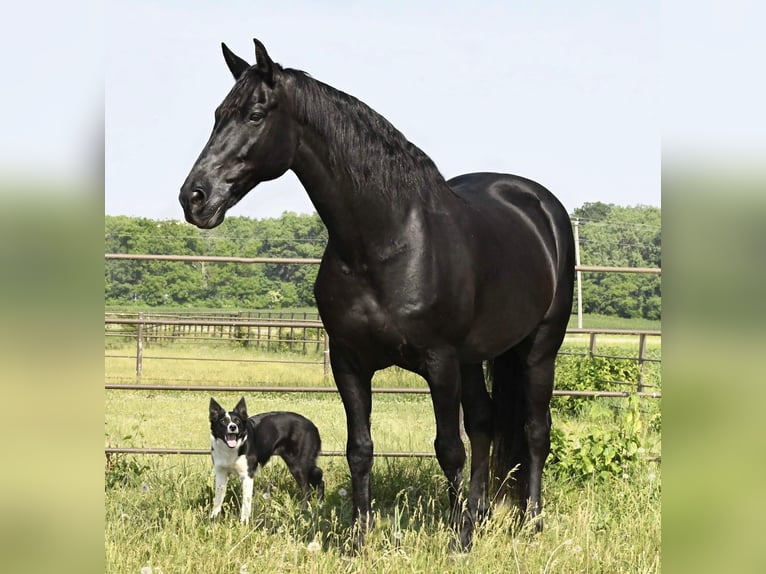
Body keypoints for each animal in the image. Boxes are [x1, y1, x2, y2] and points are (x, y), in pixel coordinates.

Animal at [182, 39, 576, 552]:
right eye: (216, 115)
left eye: (254, 114)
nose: (194, 197)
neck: (386, 241)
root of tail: (540, 205)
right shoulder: (350, 363)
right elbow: (360, 450)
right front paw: (357, 539)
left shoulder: (440, 362)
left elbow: (448, 449)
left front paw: (458, 539)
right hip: (475, 359)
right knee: (485, 424)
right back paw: (482, 512)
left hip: (538, 349)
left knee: (533, 432)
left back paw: (531, 522)